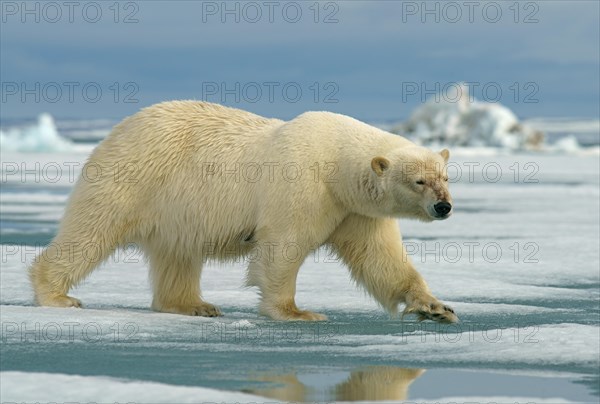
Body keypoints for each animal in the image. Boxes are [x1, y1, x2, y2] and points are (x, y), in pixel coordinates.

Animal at [30, 101, 458, 322]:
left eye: (444, 176)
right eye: (418, 181)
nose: (444, 206)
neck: (335, 161)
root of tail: (118, 129)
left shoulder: (353, 209)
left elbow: (380, 258)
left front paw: (436, 307)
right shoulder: (303, 185)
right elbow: (282, 248)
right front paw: (297, 312)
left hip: (175, 206)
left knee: (177, 253)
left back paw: (194, 305)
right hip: (134, 177)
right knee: (92, 229)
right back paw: (58, 295)